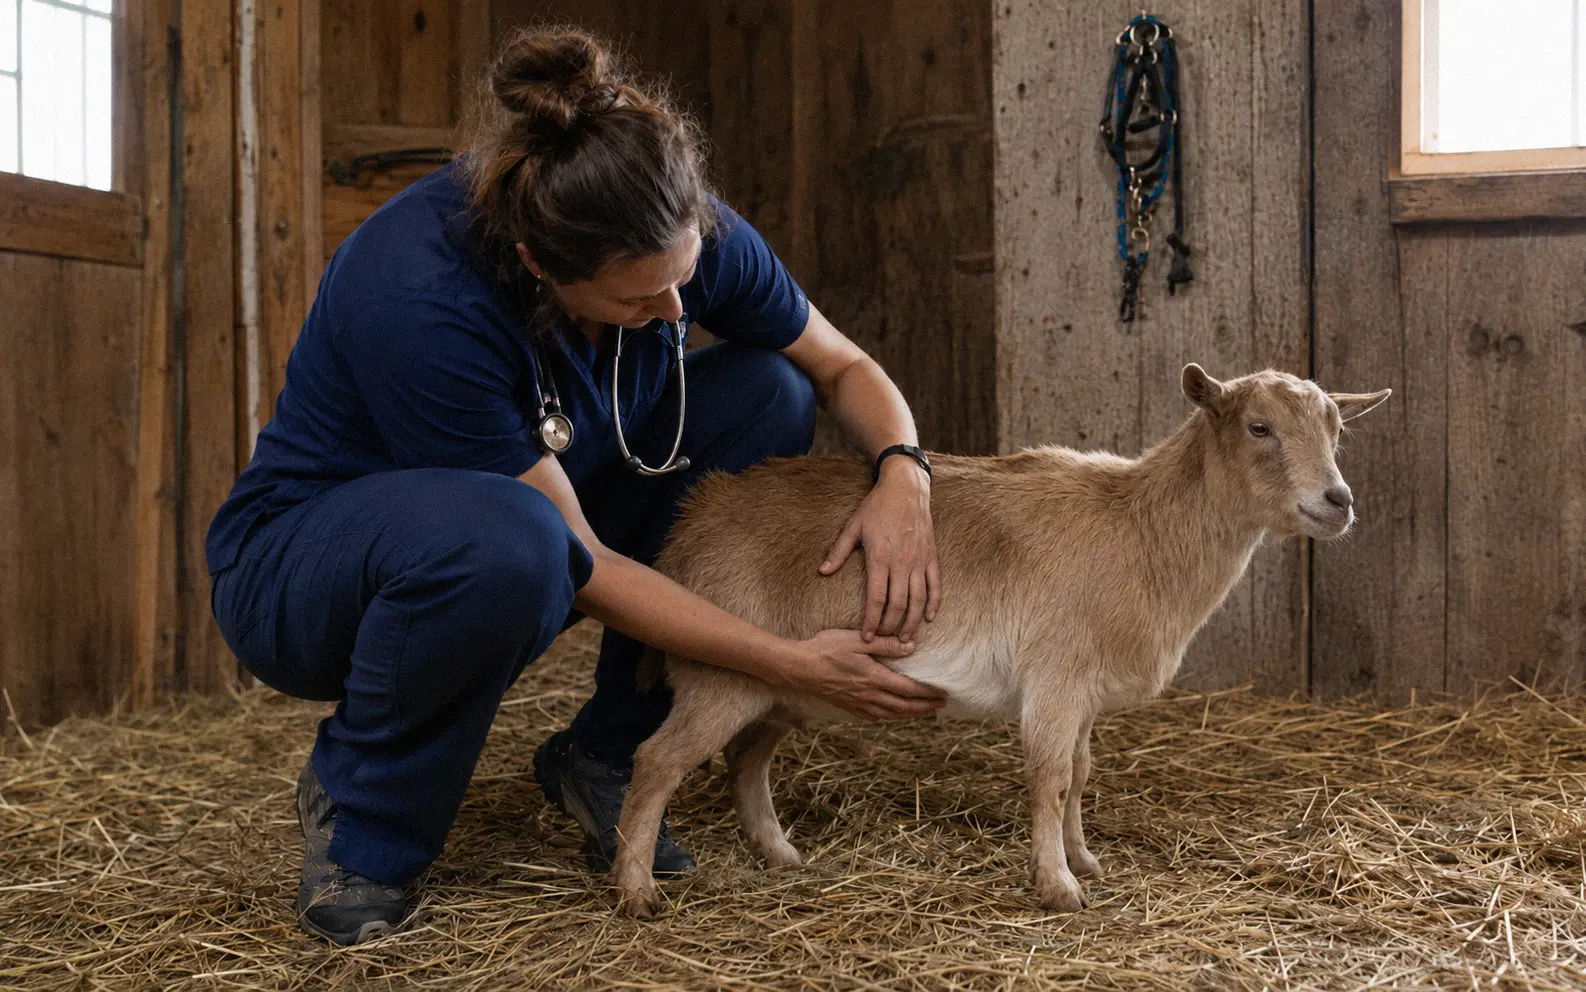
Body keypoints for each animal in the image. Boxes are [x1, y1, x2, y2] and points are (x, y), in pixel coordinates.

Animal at [611, 365, 1391, 916]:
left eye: (1336, 431)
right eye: (1259, 428)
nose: (1338, 502)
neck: (1139, 529)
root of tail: (690, 525)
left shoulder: (1083, 693)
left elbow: (1079, 773)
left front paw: (1083, 860)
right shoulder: (1055, 675)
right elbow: (1049, 777)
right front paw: (1059, 888)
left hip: (784, 681)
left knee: (745, 758)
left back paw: (778, 854)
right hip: (722, 672)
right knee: (654, 761)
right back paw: (637, 891)